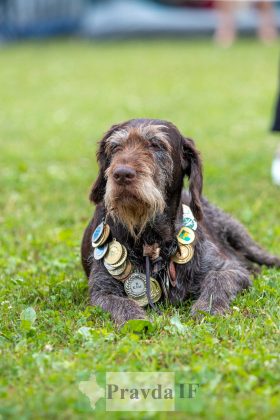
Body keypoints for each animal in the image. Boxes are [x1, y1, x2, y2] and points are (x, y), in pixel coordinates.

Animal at [81, 118, 280, 324]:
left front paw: (206, 309)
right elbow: (119, 302)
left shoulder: (230, 269)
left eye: (157, 145)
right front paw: (136, 319)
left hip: (239, 235)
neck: (151, 239)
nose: (121, 174)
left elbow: (217, 281)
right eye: (115, 147)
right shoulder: (101, 290)